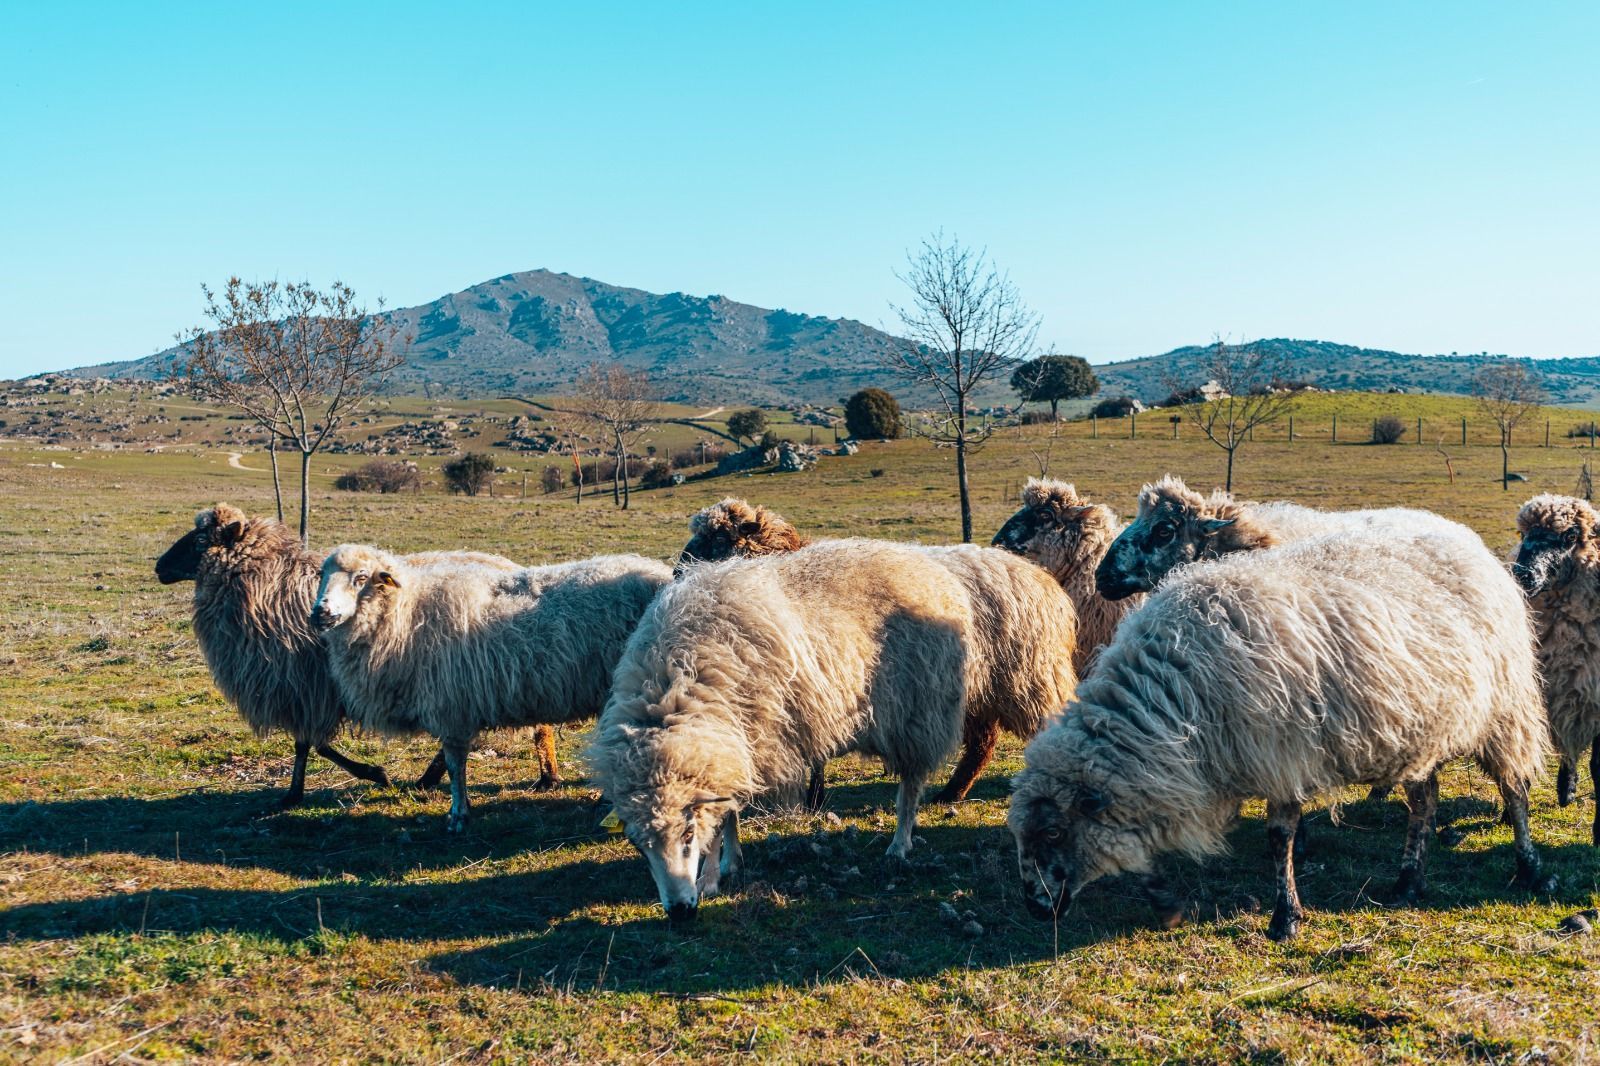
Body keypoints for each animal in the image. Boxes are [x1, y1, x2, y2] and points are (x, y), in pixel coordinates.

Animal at [312, 546, 672, 831]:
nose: (320, 613)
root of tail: (663, 574)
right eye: (321, 575)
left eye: (361, 578)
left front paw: (459, 814)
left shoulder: (452, 707)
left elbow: (455, 765)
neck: (408, 612)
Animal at [589, 538, 1079, 922]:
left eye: (687, 835)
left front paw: (710, 874)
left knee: (911, 781)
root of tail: (932, 567)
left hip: (920, 705)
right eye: (637, 845)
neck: (677, 680)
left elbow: (724, 813)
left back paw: (900, 843)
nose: (679, 912)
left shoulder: (752, 733)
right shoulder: (736, 741)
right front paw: (728, 861)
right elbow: (728, 812)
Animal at [673, 497, 1034, 806]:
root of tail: (1018, 564)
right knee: (983, 742)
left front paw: (815, 798)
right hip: (976, 689)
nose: (678, 569)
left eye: (720, 536)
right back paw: (952, 792)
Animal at [1009, 527, 1550, 941]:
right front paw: (1164, 899)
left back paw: (1530, 870)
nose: (1033, 907)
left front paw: (1285, 916)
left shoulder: (1280, 754)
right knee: (1425, 801)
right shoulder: (1179, 776)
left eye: (1054, 832)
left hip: (1504, 710)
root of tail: (1468, 541)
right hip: (1421, 727)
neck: (1173, 693)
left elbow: (1279, 837)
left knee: (1514, 788)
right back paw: (1408, 880)